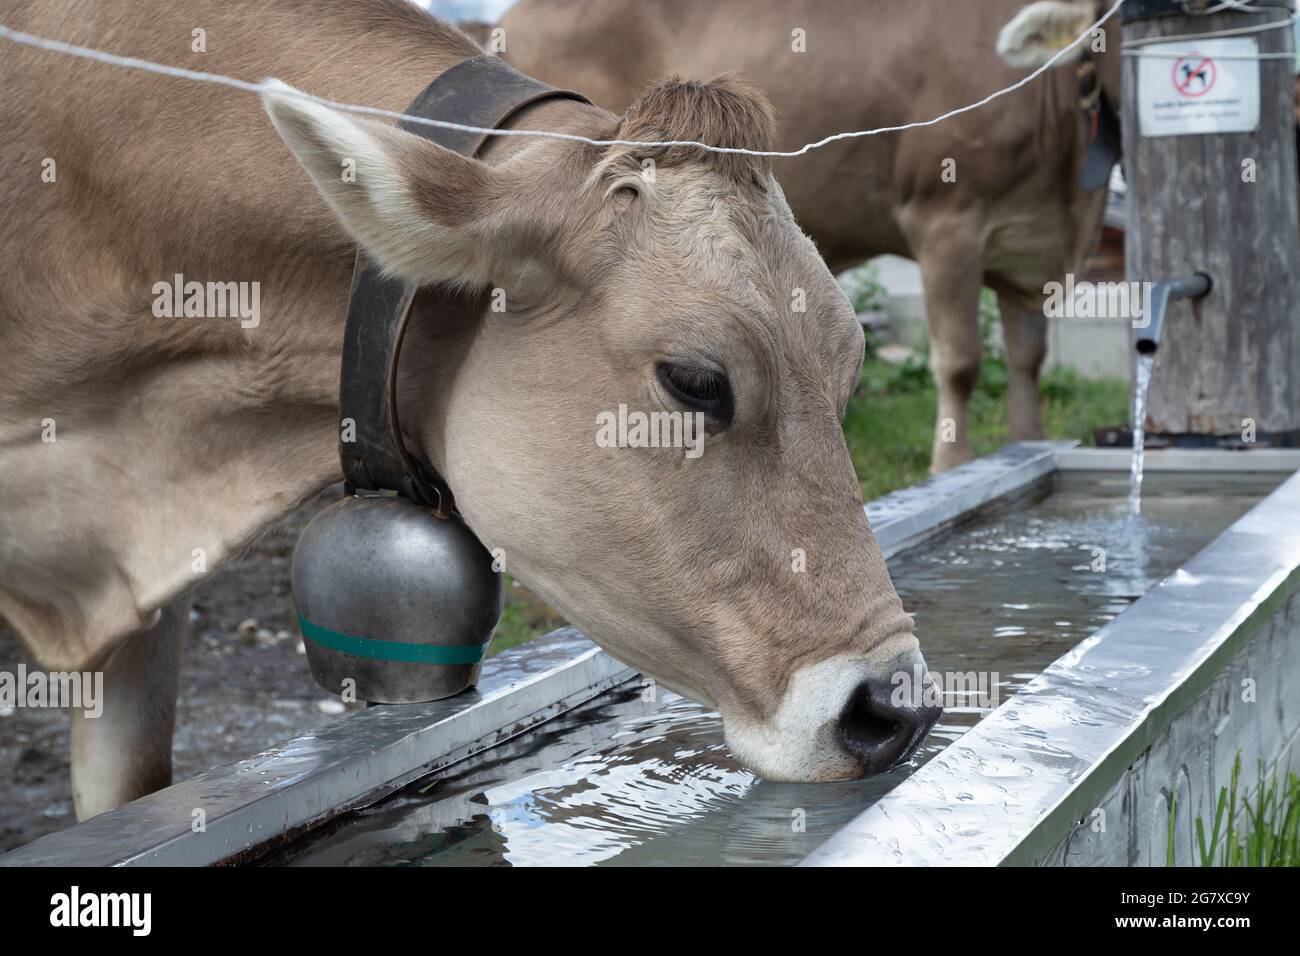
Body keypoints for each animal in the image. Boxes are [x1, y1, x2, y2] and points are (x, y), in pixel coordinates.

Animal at [499, 0, 1128, 473]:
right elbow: (961, 362)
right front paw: (952, 465)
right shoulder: (948, 219)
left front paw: (1028, 442)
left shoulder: (1029, 249)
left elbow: (1028, 359)